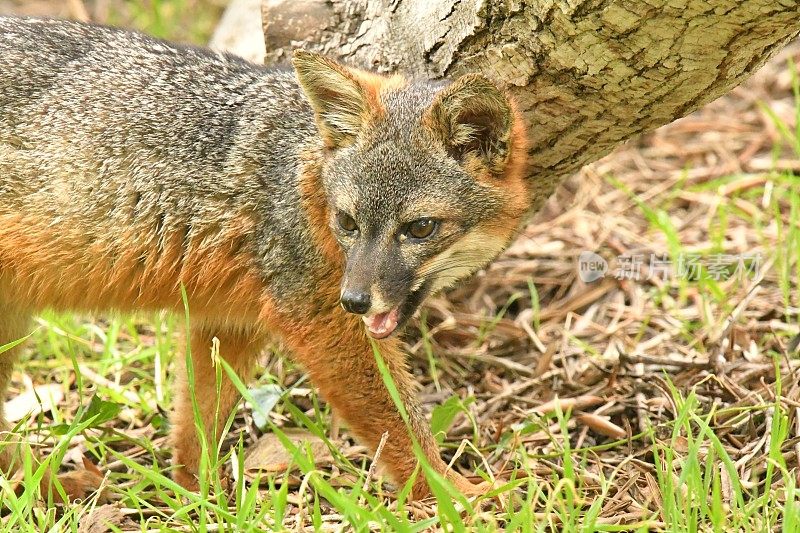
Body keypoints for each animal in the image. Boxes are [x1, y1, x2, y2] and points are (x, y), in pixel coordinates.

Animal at [0, 15, 532, 498]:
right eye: (349, 222)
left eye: (420, 228)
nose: (355, 302)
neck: (302, 172)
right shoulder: (321, 322)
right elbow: (401, 426)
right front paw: (458, 497)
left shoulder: (226, 323)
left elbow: (198, 427)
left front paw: (199, 499)